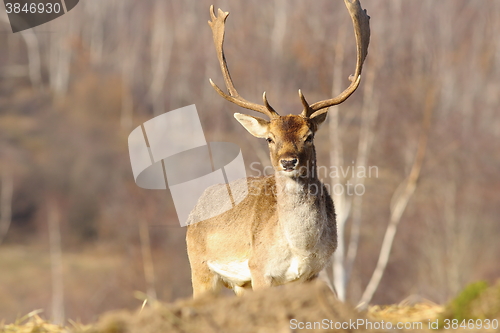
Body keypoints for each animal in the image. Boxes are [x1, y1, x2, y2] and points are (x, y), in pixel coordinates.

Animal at [186, 0, 370, 296]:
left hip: (239, 283)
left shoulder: (313, 274)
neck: (300, 247)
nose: (288, 161)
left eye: (309, 136)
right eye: (270, 139)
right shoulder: (259, 268)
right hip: (200, 266)